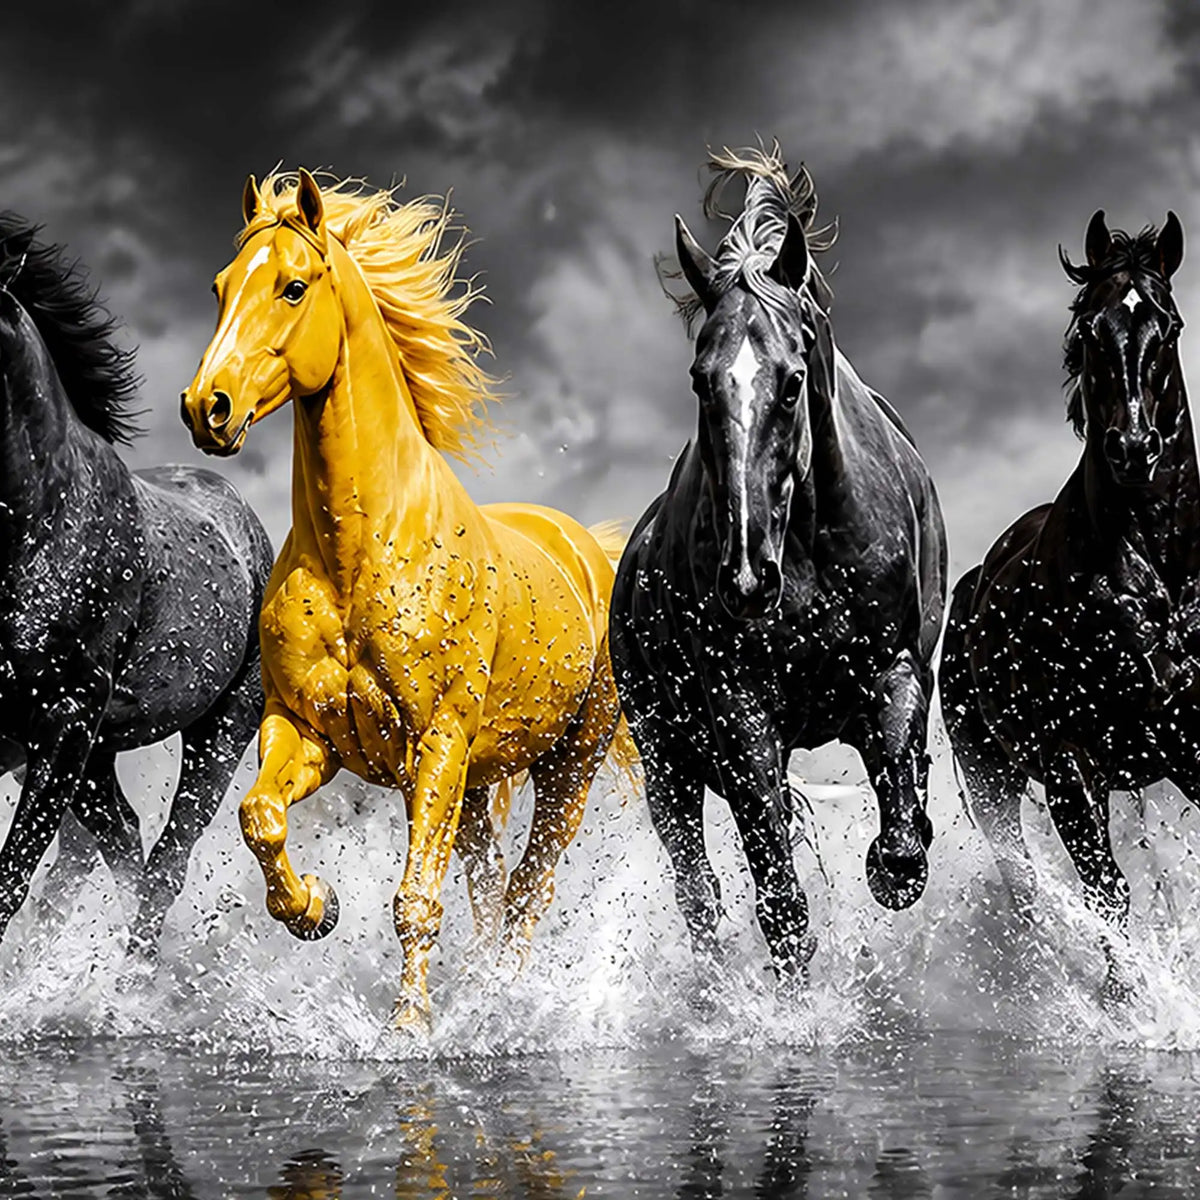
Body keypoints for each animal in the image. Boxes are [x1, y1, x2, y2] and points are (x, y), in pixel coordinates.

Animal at [0, 213, 272, 961]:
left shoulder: (63, 723)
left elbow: (8, 881)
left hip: (217, 731)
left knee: (162, 864)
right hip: (94, 755)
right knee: (116, 845)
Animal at [179, 169, 632, 1031]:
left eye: (293, 286)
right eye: (218, 287)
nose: (206, 407)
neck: (360, 559)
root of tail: (587, 548)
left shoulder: (438, 743)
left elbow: (416, 899)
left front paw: (409, 1023)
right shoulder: (305, 733)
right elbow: (261, 818)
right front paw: (313, 907)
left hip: (568, 767)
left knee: (532, 888)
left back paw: (503, 1000)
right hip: (483, 782)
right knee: (492, 888)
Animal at [609, 146, 947, 980]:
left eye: (792, 381)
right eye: (700, 380)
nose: (745, 578)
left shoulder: (892, 674)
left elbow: (899, 850)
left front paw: (896, 856)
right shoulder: (740, 711)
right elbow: (782, 905)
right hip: (667, 761)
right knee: (699, 893)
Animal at [941, 210, 1198, 965]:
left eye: (1170, 325)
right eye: (1089, 328)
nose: (1134, 448)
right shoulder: (1070, 767)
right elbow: (1108, 899)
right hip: (993, 784)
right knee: (1026, 893)